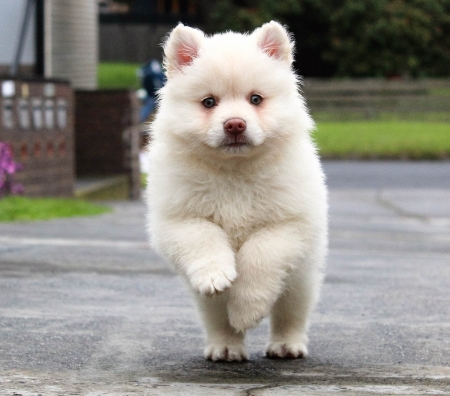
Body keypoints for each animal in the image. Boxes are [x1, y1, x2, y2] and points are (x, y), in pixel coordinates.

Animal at [147, 20, 326, 362]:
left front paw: (247, 309)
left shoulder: (289, 223)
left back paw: (287, 345)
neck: (234, 171)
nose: (234, 125)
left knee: (290, 312)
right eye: (208, 102)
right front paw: (216, 275)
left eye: (256, 99)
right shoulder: (178, 217)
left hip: (300, 277)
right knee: (218, 317)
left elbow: (260, 253)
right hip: (208, 301)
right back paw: (226, 347)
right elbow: (204, 236)